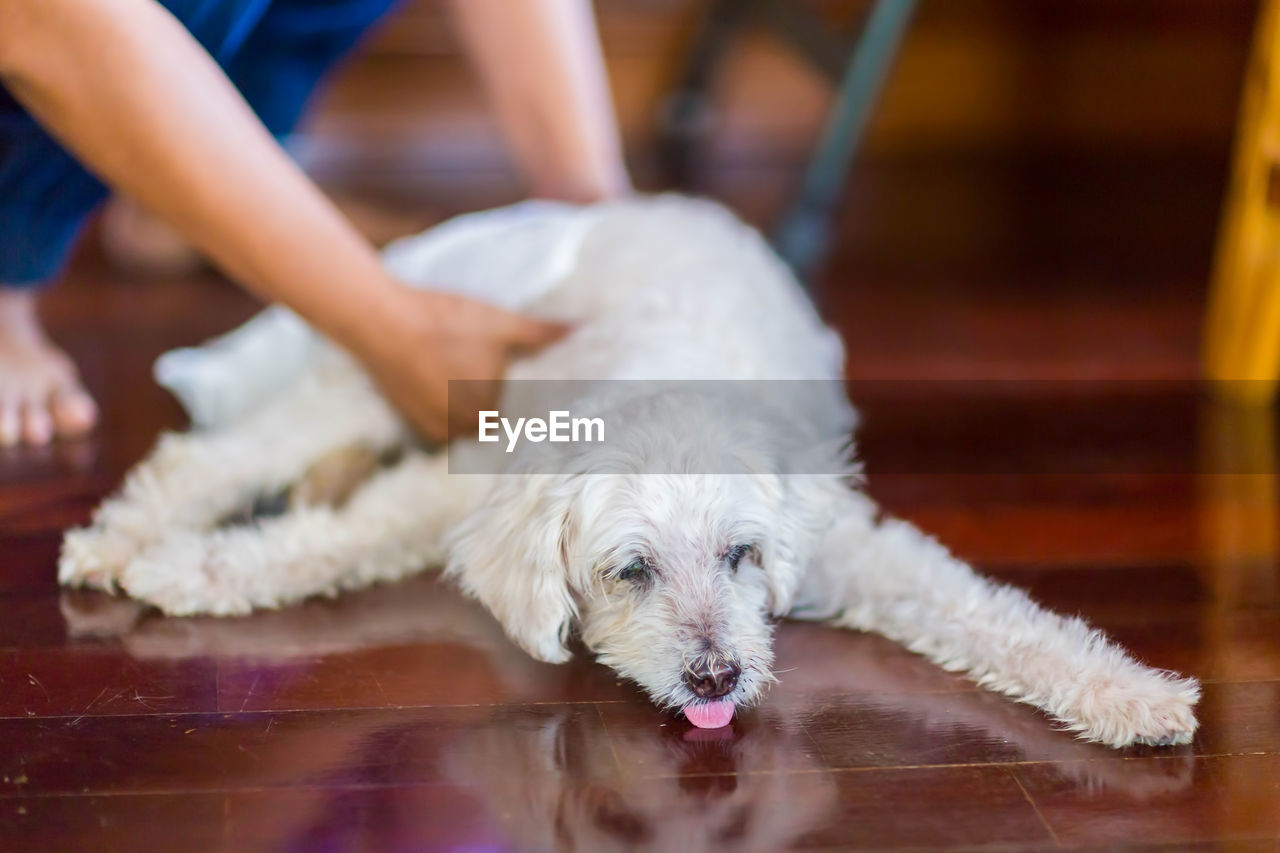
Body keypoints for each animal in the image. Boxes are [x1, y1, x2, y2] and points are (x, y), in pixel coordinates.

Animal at [60, 194, 1198, 742]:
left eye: (743, 556)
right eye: (630, 571)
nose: (717, 677)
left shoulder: (845, 548)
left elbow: (992, 613)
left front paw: (1132, 694)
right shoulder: (472, 472)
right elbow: (334, 542)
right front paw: (199, 570)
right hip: (400, 359)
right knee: (208, 453)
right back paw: (121, 540)